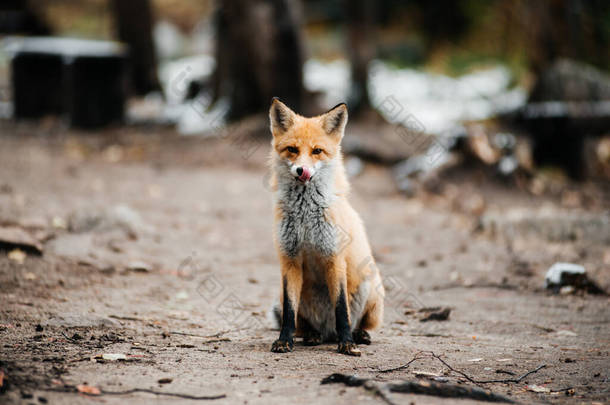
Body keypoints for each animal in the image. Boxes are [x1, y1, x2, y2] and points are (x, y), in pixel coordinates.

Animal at [268, 98, 382, 356]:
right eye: (292, 149)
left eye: (317, 151)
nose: (302, 170)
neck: (305, 217)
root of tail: (328, 332)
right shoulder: (289, 258)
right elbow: (289, 312)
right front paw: (284, 341)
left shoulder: (334, 256)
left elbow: (341, 309)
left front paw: (347, 343)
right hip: (284, 294)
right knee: (303, 325)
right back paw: (312, 336)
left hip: (371, 284)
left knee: (359, 322)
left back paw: (358, 335)